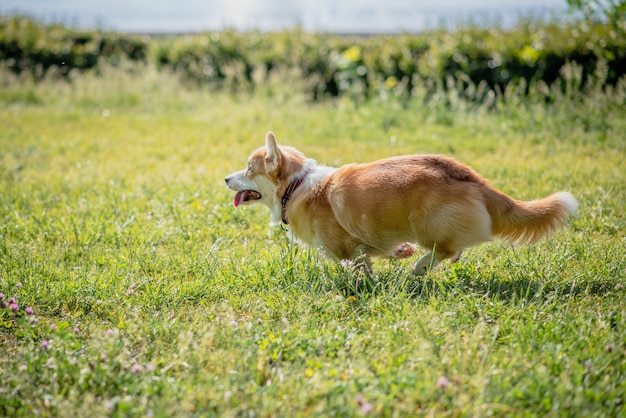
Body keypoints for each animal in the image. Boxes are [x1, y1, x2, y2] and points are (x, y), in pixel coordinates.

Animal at [224, 131, 576, 274]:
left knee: (446, 249)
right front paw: (398, 253)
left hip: (425, 223)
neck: (296, 186)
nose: (225, 179)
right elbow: (379, 252)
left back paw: (419, 268)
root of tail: (475, 180)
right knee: (454, 251)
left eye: (249, 169)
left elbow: (355, 263)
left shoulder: (344, 247)